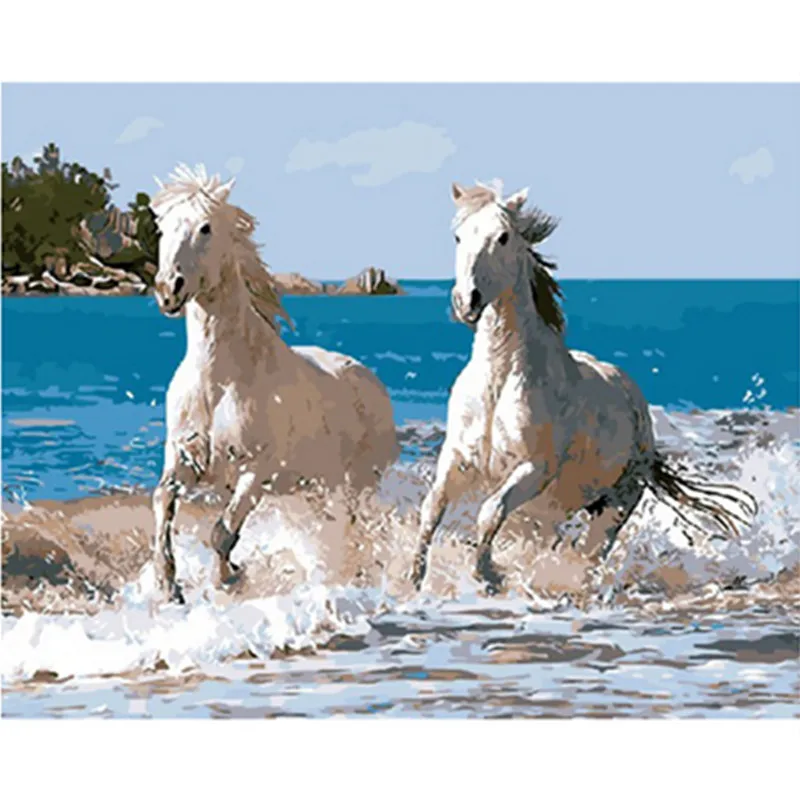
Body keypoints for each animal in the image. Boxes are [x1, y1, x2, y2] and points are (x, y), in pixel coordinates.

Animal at [149, 164, 398, 603]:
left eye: (206, 227)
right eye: (161, 227)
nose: (168, 289)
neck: (219, 380)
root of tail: (372, 381)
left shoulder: (254, 471)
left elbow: (222, 532)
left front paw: (232, 578)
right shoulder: (182, 459)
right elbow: (162, 501)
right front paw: (169, 586)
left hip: (358, 483)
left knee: (354, 530)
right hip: (313, 487)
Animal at [410, 180, 757, 594]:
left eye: (503, 237)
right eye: (459, 236)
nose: (467, 301)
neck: (499, 380)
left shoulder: (533, 469)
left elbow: (489, 512)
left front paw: (489, 576)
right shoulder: (457, 458)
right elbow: (431, 508)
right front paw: (412, 578)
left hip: (613, 503)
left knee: (589, 554)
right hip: (547, 514)